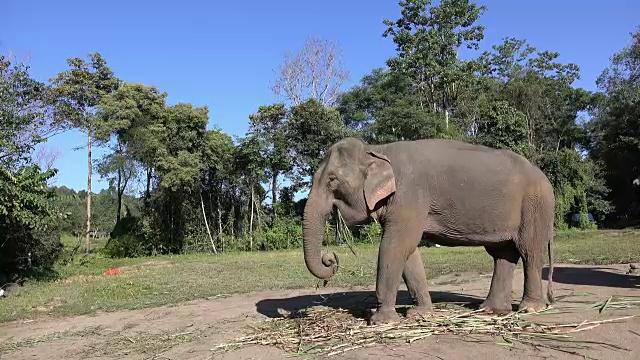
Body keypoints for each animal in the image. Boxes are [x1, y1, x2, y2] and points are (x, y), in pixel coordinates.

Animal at [302, 136, 556, 324]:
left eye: (332, 180)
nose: (330, 258)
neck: (377, 150)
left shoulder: (409, 195)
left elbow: (395, 246)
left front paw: (381, 320)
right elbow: (408, 251)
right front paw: (419, 314)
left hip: (535, 206)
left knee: (529, 251)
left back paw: (529, 309)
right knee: (502, 254)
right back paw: (489, 309)